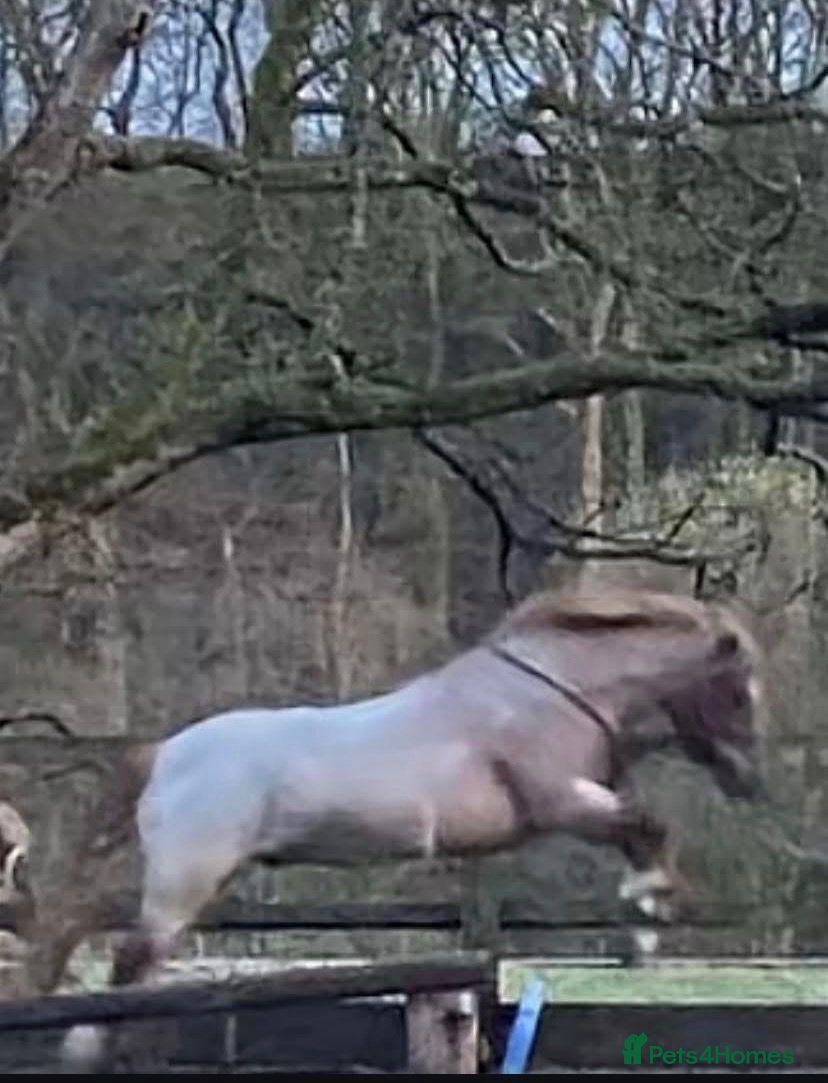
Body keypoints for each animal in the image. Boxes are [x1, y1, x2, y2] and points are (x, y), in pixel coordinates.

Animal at [43, 585, 764, 1067]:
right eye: (738, 691)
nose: (747, 782)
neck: (551, 689)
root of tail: (164, 753)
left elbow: (643, 831)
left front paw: (643, 926)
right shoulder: (559, 803)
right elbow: (649, 829)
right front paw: (646, 911)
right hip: (185, 879)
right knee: (131, 958)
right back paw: (85, 1047)